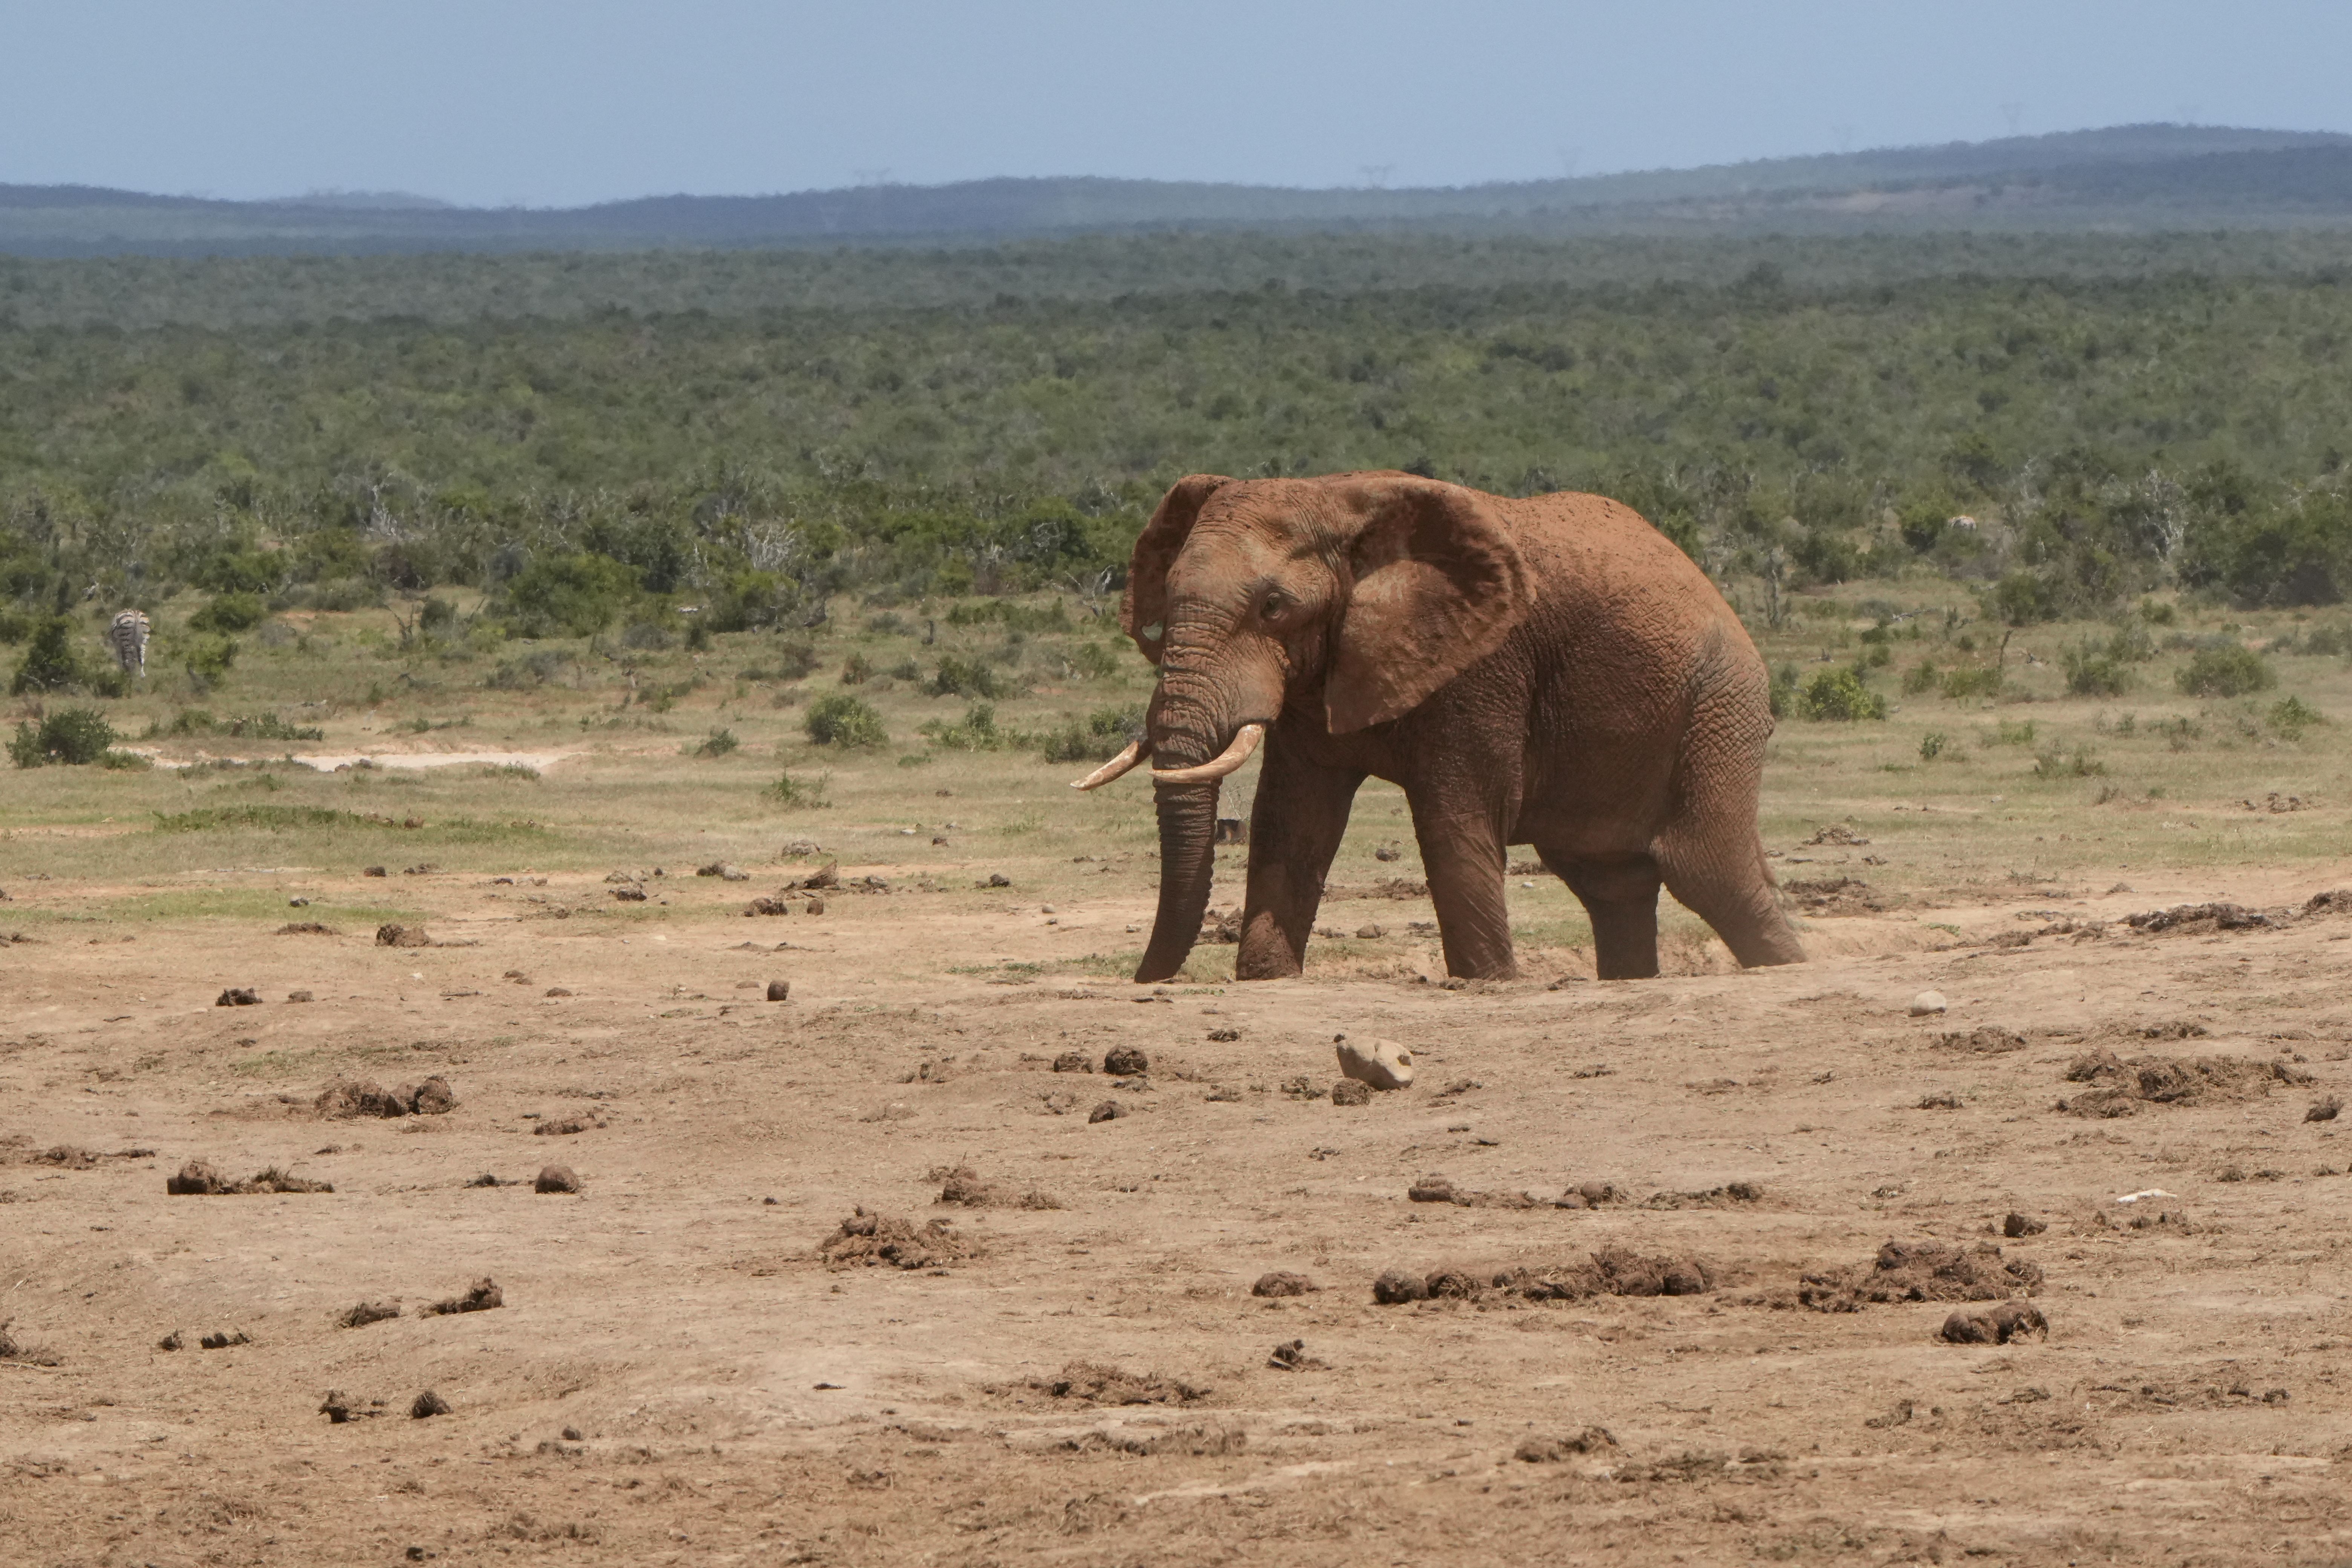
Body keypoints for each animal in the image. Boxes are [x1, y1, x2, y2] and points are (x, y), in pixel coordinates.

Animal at [1072, 470, 1805, 984]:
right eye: (1166, 599)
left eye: (1273, 607)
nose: (1144, 981)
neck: (1342, 502)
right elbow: (1293, 820)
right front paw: (1267, 979)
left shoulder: (1482, 666)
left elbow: (1455, 817)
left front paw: (1490, 982)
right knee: (1613, 884)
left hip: (1719, 705)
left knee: (1710, 871)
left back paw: (1788, 966)